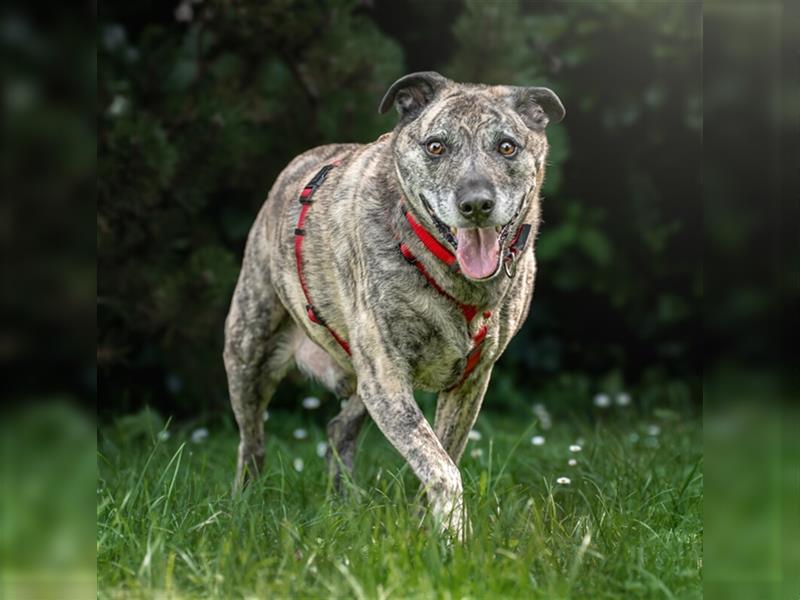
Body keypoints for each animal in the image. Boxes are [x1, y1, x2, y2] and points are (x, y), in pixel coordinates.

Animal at [222, 71, 564, 540]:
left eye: (507, 146)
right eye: (436, 146)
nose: (476, 204)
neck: (447, 270)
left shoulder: (470, 381)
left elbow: (442, 455)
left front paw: (430, 528)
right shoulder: (387, 375)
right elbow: (441, 467)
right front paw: (456, 535)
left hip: (359, 374)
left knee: (338, 429)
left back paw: (345, 505)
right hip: (249, 347)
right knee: (252, 439)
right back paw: (244, 504)